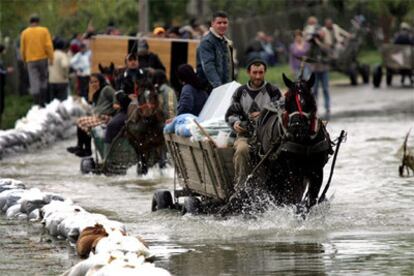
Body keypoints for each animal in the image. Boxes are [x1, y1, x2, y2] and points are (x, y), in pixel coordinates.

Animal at [220, 73, 334, 216]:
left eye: (309, 99)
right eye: (288, 101)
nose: (296, 126)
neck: (304, 140)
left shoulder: (317, 171)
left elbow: (310, 200)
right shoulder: (292, 172)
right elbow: (293, 198)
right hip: (270, 166)